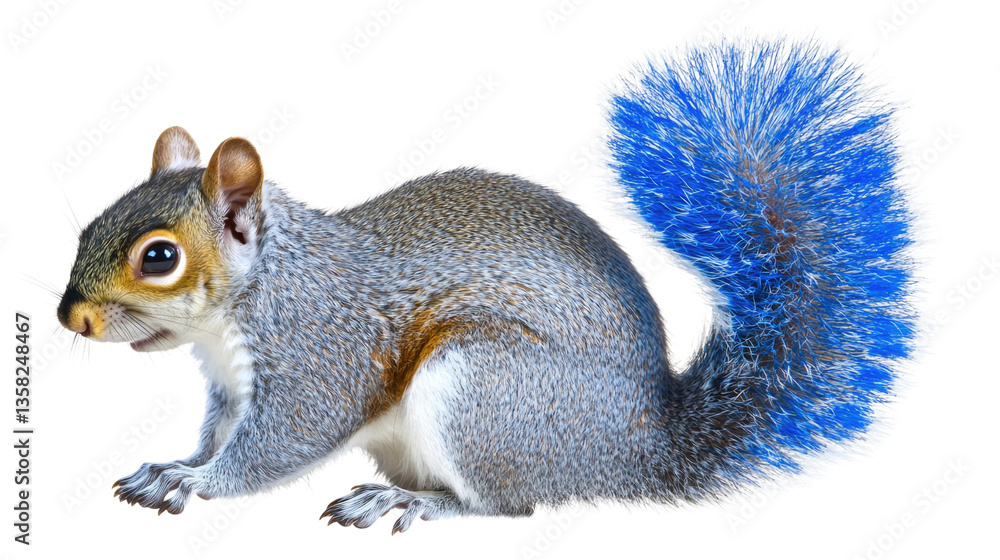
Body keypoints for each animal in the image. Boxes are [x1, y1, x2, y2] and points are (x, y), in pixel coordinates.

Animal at [57, 40, 914, 533]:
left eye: (158, 257)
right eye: (87, 226)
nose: (70, 319)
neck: (258, 289)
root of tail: (638, 450)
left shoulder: (318, 352)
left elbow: (280, 442)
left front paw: (200, 482)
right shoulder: (229, 387)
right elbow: (216, 431)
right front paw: (176, 463)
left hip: (486, 389)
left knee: (507, 507)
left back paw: (410, 503)